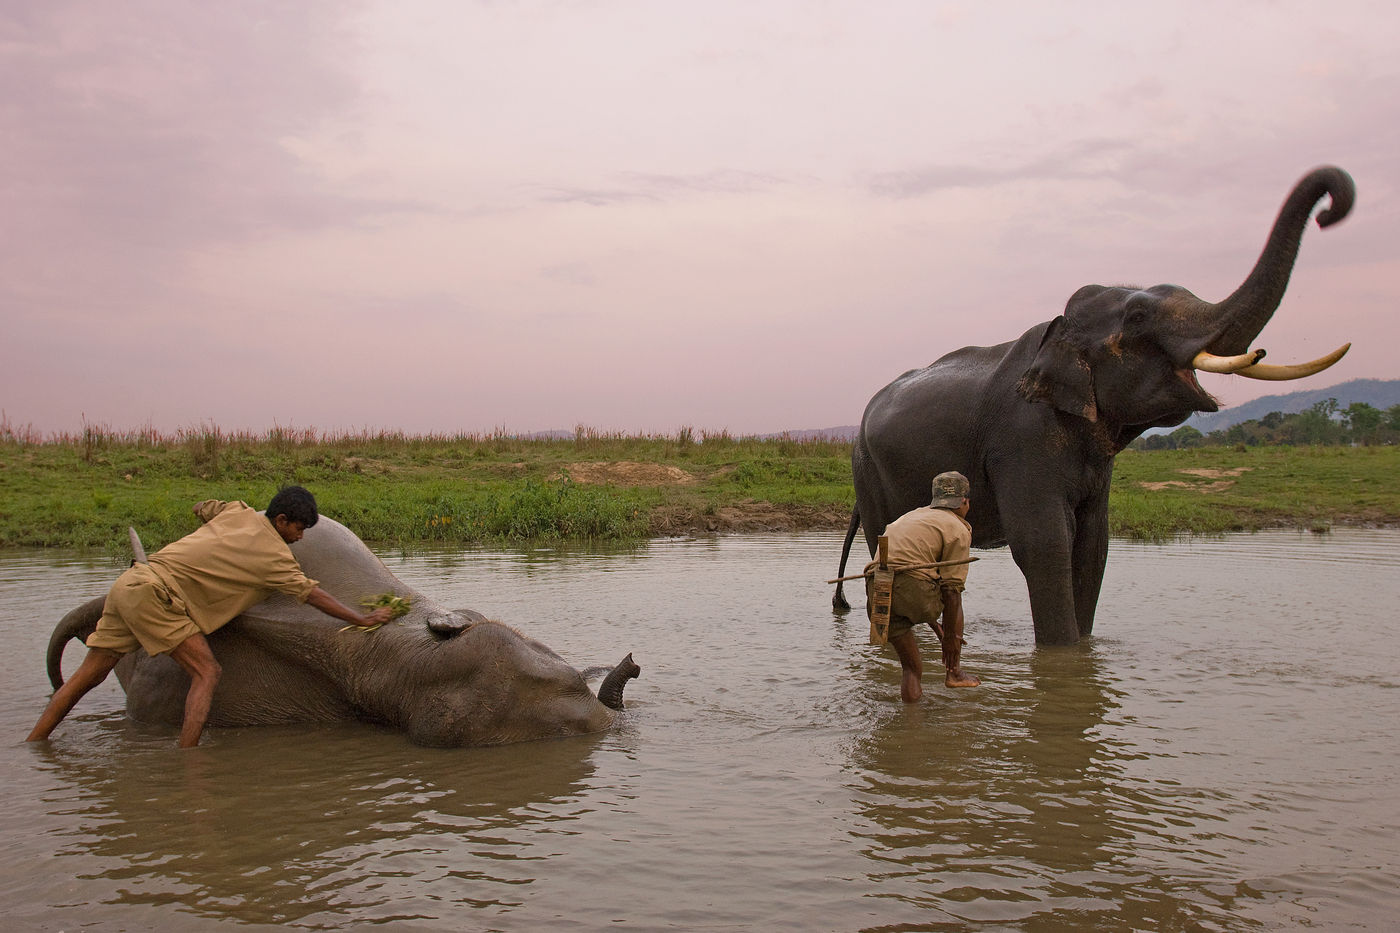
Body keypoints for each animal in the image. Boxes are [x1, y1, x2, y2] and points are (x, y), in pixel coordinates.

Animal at [828, 163, 1355, 644]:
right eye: (1138, 317)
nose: (1330, 211)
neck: (1059, 333)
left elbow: (1093, 546)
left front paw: (1083, 654)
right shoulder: (1022, 439)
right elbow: (1046, 544)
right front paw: (1061, 661)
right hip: (866, 470)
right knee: (885, 554)